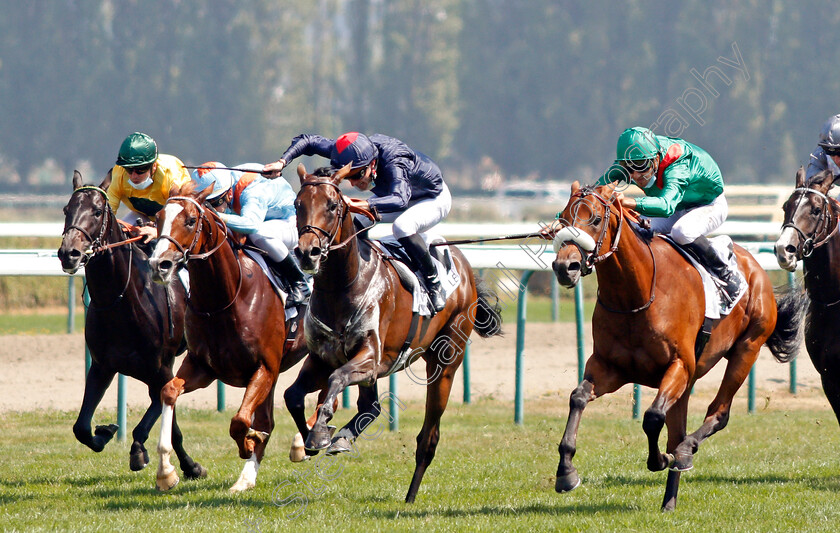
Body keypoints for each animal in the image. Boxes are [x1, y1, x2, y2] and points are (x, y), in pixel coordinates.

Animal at [57, 169, 207, 478]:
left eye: (98, 211)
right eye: (67, 209)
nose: (69, 253)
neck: (122, 301)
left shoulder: (160, 367)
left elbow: (165, 413)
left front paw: (179, 463)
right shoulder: (102, 366)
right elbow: (81, 427)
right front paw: (105, 431)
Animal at [149, 181, 310, 492]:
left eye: (190, 220)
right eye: (158, 218)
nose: (158, 264)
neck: (224, 298)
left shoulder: (264, 367)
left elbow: (239, 420)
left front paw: (248, 442)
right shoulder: (203, 367)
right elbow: (169, 391)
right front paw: (166, 472)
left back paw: (299, 443)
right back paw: (250, 476)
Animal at [286, 163, 502, 502]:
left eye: (332, 206)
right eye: (298, 205)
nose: (308, 253)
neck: (342, 285)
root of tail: (464, 267)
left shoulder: (369, 357)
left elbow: (336, 380)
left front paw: (320, 432)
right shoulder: (322, 358)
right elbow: (292, 395)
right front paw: (309, 440)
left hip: (444, 363)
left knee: (428, 437)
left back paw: (410, 496)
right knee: (370, 406)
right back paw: (343, 437)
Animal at [552, 181, 800, 510]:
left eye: (594, 218)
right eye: (563, 218)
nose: (564, 266)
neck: (636, 293)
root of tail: (756, 268)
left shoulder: (678, 365)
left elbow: (652, 417)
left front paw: (661, 459)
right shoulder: (609, 367)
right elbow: (578, 398)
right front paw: (566, 472)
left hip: (747, 349)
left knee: (718, 413)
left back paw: (684, 451)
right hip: (691, 378)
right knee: (678, 428)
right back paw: (669, 500)